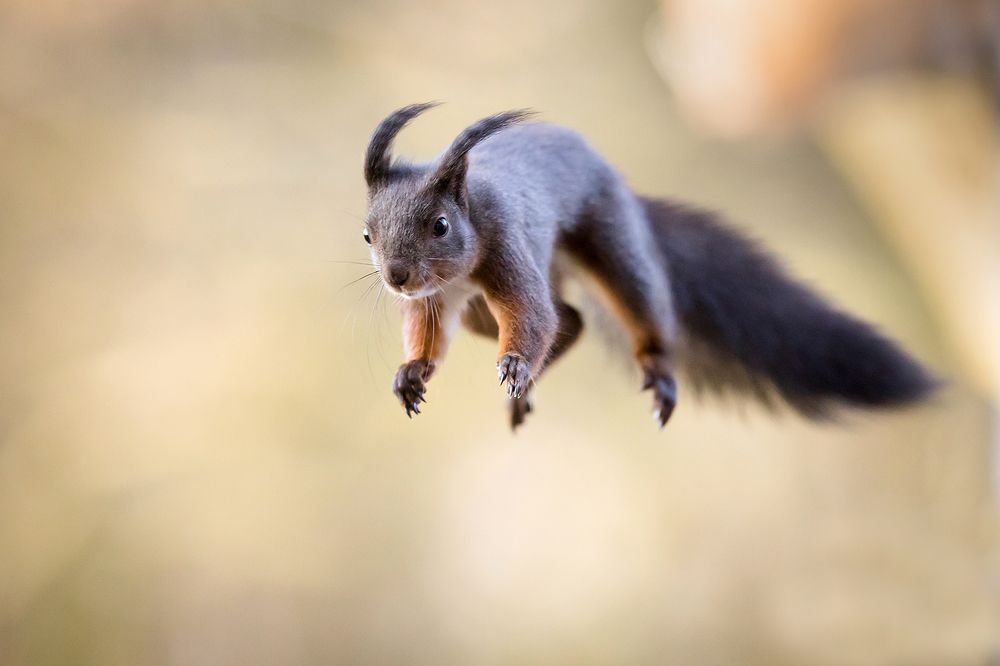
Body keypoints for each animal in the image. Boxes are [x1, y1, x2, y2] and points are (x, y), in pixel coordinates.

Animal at [361, 103, 937, 430]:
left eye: (440, 225)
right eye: (367, 233)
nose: (396, 277)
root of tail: (626, 191)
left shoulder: (505, 243)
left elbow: (532, 315)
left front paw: (517, 364)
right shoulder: (433, 301)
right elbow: (429, 335)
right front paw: (412, 371)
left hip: (616, 248)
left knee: (610, 308)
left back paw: (655, 369)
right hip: (484, 312)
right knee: (571, 321)